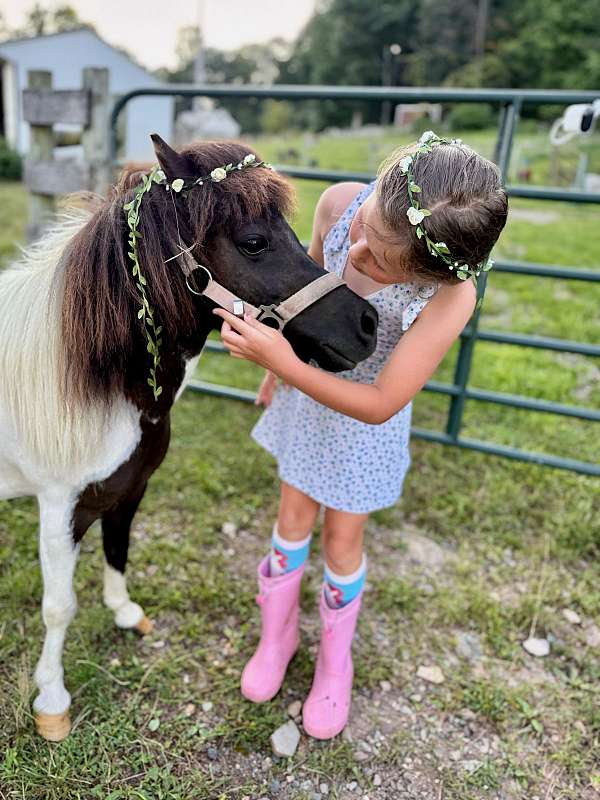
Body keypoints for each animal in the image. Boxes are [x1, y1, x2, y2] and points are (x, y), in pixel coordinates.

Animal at [0, 135, 378, 741]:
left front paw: (125, 612)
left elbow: (118, 549)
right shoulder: (58, 509)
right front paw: (52, 701)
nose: (365, 325)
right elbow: (59, 606)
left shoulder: (128, 491)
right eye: (253, 242)